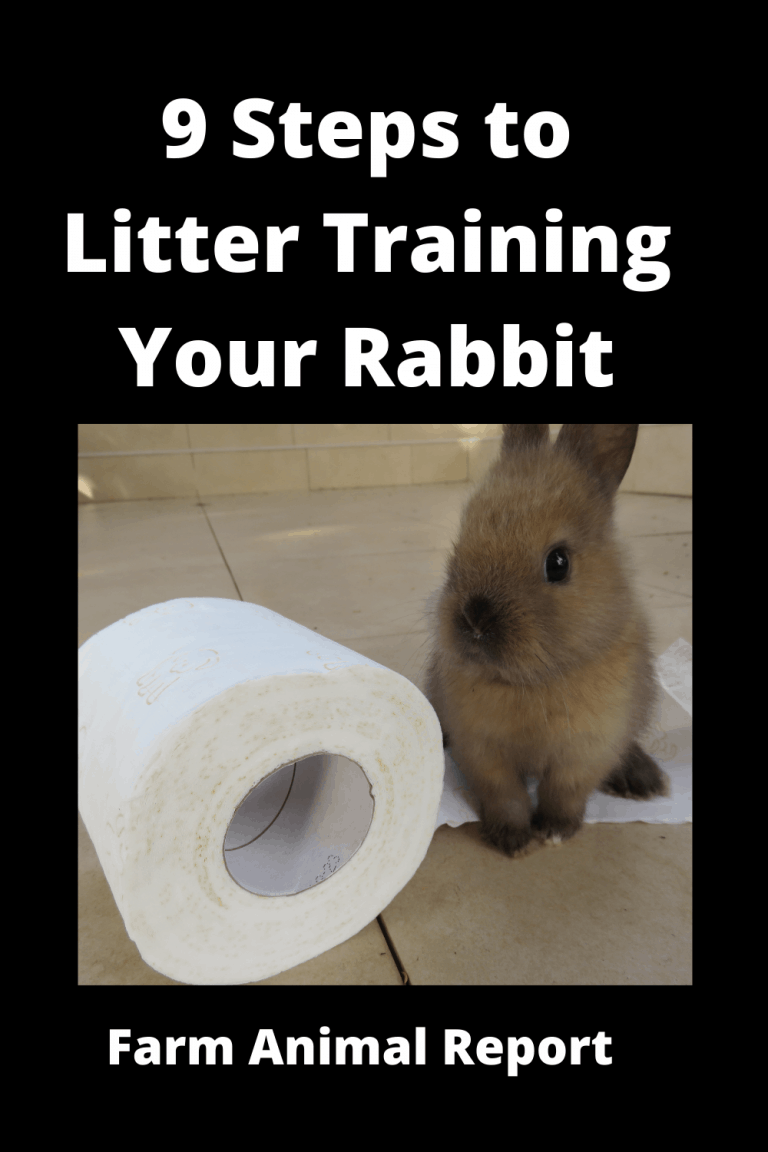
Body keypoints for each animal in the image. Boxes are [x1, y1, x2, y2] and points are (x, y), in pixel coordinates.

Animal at [424, 424, 669, 858]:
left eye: (558, 563)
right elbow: (505, 795)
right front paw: (513, 840)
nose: (474, 619)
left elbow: (564, 792)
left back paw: (643, 780)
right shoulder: (483, 752)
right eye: (463, 535)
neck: (531, 683)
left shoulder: (586, 750)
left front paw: (555, 831)